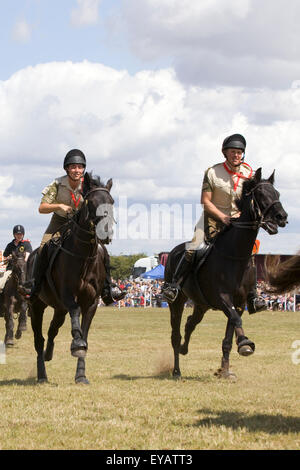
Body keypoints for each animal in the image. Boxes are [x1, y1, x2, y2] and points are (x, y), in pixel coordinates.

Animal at [26, 171, 115, 384]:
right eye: (91, 202)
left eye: (112, 202)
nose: (106, 233)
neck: (83, 256)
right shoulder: (67, 295)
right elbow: (75, 312)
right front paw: (77, 344)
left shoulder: (91, 302)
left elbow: (85, 332)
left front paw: (81, 375)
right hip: (36, 306)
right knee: (39, 339)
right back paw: (42, 375)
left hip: (58, 308)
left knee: (52, 330)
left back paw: (49, 354)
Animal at [165, 167, 290, 380]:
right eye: (261, 194)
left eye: (277, 194)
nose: (282, 217)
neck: (234, 254)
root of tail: (173, 252)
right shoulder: (223, 297)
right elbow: (235, 320)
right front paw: (245, 343)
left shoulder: (238, 303)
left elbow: (229, 337)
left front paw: (225, 370)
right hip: (177, 302)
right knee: (176, 334)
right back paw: (176, 371)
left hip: (202, 304)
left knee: (190, 323)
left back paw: (184, 349)